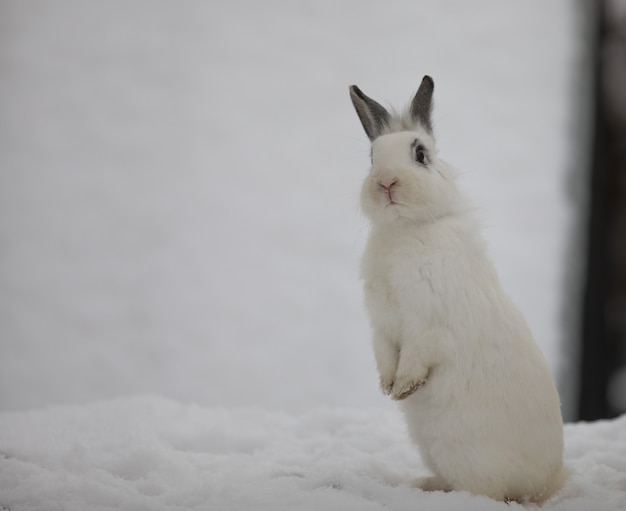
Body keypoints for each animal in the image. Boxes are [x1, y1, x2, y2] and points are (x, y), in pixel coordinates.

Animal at [348, 77, 564, 504]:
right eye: (372, 158)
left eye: (421, 155)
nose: (386, 183)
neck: (406, 229)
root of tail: (550, 483)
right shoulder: (382, 325)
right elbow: (384, 353)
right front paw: (387, 387)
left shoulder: (429, 322)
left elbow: (416, 354)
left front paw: (404, 388)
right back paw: (419, 483)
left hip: (466, 457)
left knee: (486, 492)